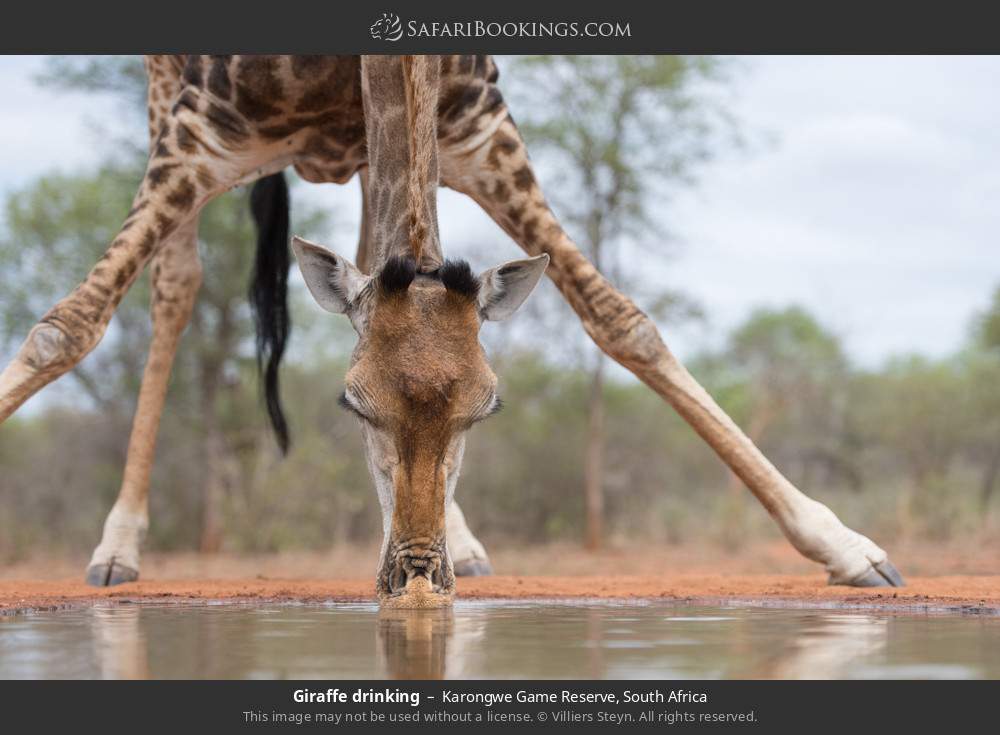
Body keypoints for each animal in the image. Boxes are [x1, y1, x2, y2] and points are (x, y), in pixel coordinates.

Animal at [0, 55, 904, 605]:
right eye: (352, 405)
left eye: (487, 408)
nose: (416, 574)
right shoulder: (200, 136)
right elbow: (65, 326)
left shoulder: (475, 124)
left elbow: (621, 320)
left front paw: (846, 545)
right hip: (165, 97)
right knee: (175, 286)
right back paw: (118, 545)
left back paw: (460, 540)